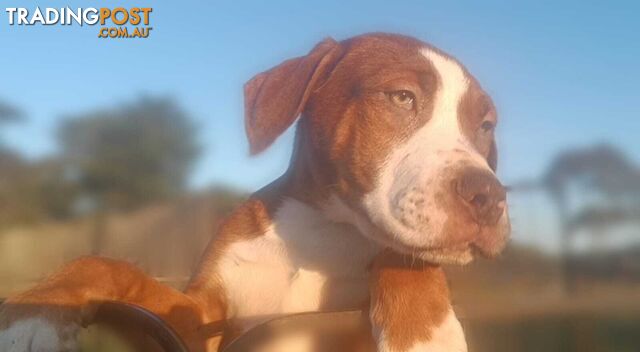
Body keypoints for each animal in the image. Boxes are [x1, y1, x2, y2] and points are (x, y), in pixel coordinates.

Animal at [0, 33, 510, 352]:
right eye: (402, 97)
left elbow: (403, 255)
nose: (490, 197)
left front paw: (428, 333)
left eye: (485, 126)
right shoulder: (200, 318)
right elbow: (105, 263)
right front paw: (34, 312)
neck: (323, 228)